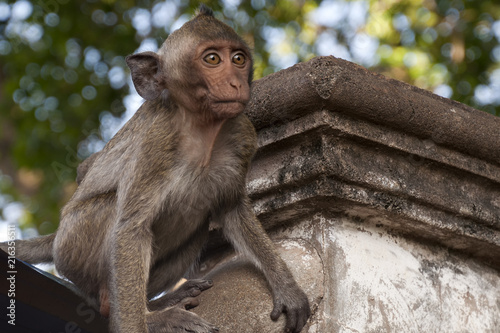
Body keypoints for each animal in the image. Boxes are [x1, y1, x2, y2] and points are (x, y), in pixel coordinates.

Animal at [1, 5, 310, 332]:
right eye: (212, 59)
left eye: (238, 59)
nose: (237, 83)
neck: (201, 128)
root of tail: (57, 236)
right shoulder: (155, 143)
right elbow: (130, 228)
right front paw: (139, 325)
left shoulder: (243, 133)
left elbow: (231, 208)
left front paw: (286, 287)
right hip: (73, 245)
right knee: (114, 214)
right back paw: (150, 314)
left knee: (197, 223)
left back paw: (159, 303)